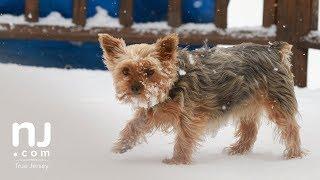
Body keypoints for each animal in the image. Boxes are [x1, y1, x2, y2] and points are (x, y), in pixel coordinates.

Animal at [99, 33, 304, 164]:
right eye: (125, 71)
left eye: (150, 72)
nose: (135, 88)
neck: (172, 83)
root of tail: (273, 49)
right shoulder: (152, 110)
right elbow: (133, 126)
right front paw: (117, 150)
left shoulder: (190, 115)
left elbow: (184, 137)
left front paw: (177, 162)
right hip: (245, 102)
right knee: (250, 129)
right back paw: (238, 150)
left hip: (278, 101)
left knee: (290, 128)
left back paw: (294, 157)